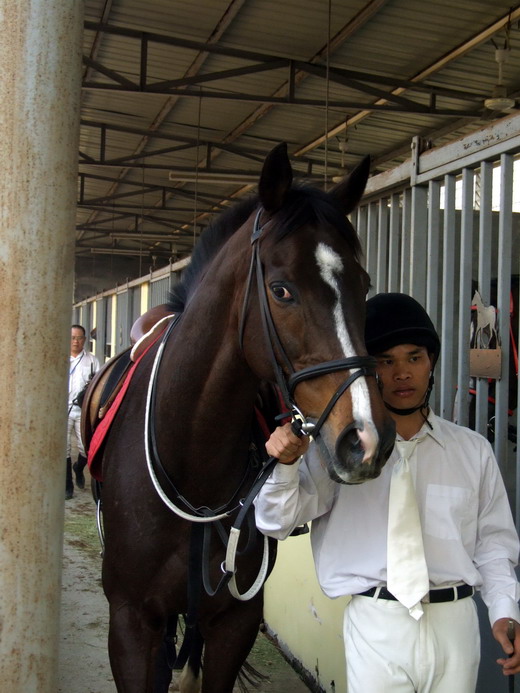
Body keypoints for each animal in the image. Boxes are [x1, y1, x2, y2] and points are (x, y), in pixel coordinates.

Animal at [94, 142, 394, 692]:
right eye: (281, 290)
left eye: (362, 284)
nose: (366, 439)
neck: (191, 457)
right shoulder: (129, 621)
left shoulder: (237, 619)